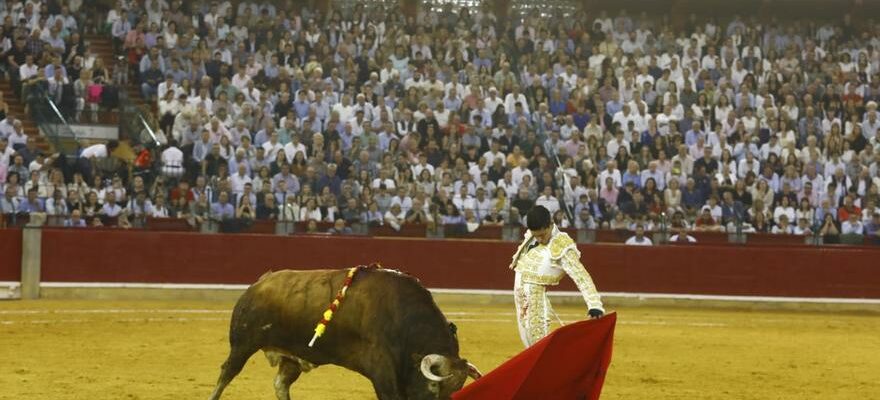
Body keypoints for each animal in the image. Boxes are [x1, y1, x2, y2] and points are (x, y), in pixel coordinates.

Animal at [208, 268, 482, 398]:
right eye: (434, 387)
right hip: (242, 344)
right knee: (226, 373)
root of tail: (258, 284)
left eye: (457, 389)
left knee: (280, 385)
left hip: (291, 357)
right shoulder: (382, 369)